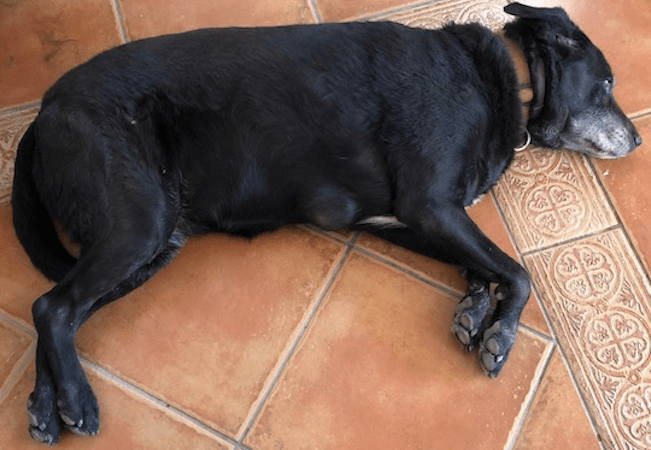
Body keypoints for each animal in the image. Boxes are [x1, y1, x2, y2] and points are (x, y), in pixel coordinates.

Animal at [12, 3, 641, 444]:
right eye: (608, 85)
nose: (637, 139)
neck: (505, 77)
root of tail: (44, 112)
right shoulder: (430, 207)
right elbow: (517, 272)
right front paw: (500, 335)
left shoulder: (405, 221)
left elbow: (482, 265)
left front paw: (473, 309)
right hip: (141, 223)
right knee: (53, 306)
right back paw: (77, 401)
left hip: (153, 245)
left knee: (59, 309)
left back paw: (46, 406)